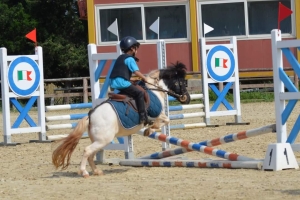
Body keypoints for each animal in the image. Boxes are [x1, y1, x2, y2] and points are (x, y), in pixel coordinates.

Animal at [52, 61, 190, 177]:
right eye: (183, 82)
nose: (187, 98)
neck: (154, 89)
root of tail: (90, 116)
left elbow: (165, 121)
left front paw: (149, 130)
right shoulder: (157, 113)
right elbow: (165, 120)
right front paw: (149, 130)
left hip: (99, 140)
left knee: (91, 154)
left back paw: (97, 171)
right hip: (104, 140)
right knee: (87, 151)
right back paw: (84, 172)